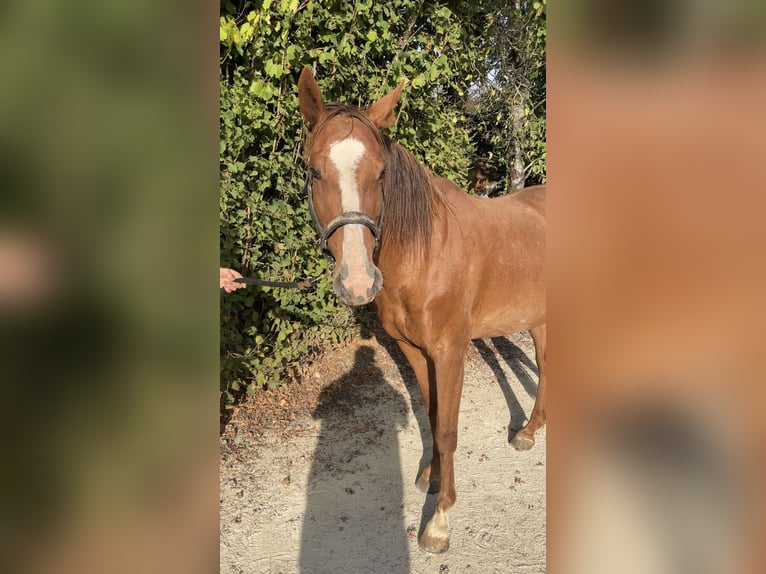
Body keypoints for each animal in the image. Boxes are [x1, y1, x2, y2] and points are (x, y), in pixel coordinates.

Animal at [298, 68, 544, 560]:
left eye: (381, 173)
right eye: (315, 171)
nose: (358, 281)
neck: (425, 253)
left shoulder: (450, 351)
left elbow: (447, 428)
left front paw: (439, 522)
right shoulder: (413, 350)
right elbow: (430, 415)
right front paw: (430, 477)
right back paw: (528, 433)